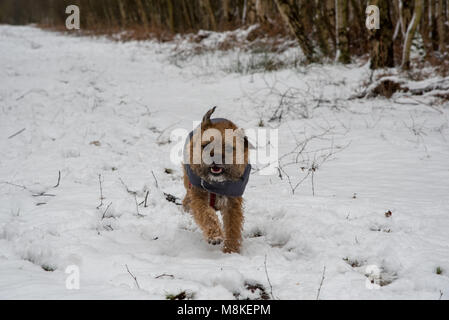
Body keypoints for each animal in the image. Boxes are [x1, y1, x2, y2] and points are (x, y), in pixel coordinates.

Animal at [183, 107, 252, 252]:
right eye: (206, 144)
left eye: (229, 147)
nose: (215, 156)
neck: (217, 183)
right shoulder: (199, 196)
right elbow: (207, 215)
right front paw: (214, 236)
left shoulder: (233, 202)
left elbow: (233, 226)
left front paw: (231, 250)